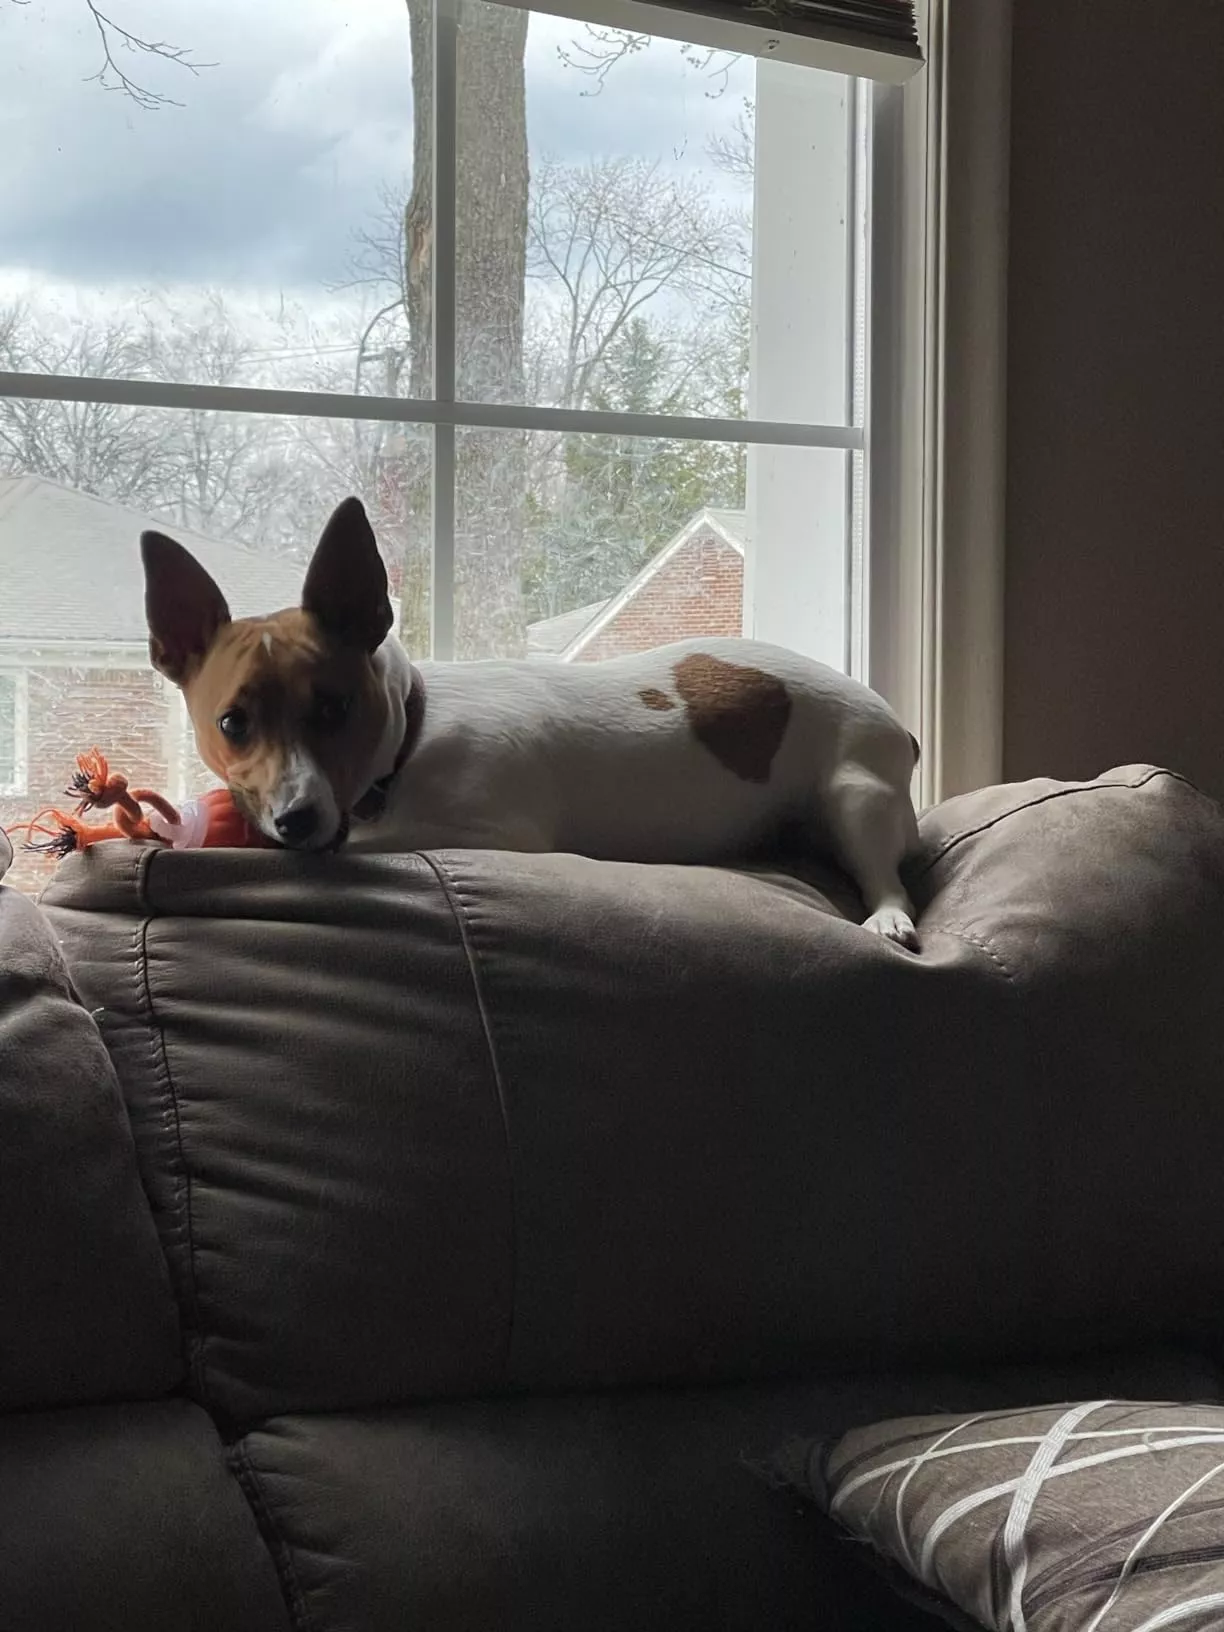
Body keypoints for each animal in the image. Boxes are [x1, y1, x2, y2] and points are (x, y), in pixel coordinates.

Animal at [141, 496, 922, 946]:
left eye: (334, 708)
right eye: (234, 724)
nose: (295, 819)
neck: (411, 739)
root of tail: (897, 725)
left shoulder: (495, 832)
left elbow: (375, 841)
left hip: (856, 793)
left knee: (888, 876)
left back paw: (888, 915)